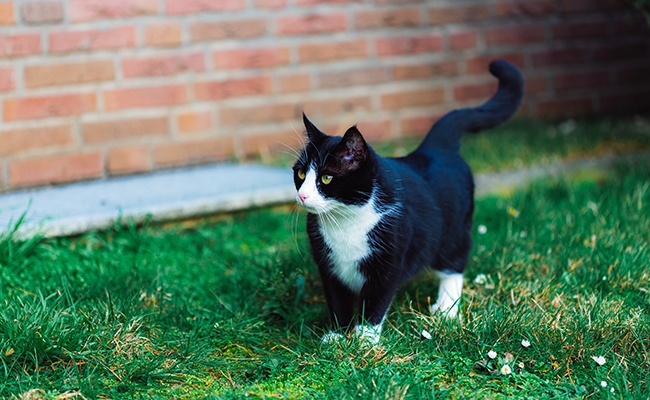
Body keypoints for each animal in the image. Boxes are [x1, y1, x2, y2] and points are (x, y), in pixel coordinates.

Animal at [292, 59, 520, 344]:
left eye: (327, 177)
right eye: (301, 174)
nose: (302, 195)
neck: (346, 220)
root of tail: (433, 149)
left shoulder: (390, 260)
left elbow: (375, 300)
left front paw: (365, 340)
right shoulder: (328, 265)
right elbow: (337, 300)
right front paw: (336, 337)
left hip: (454, 228)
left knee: (455, 261)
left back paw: (446, 308)